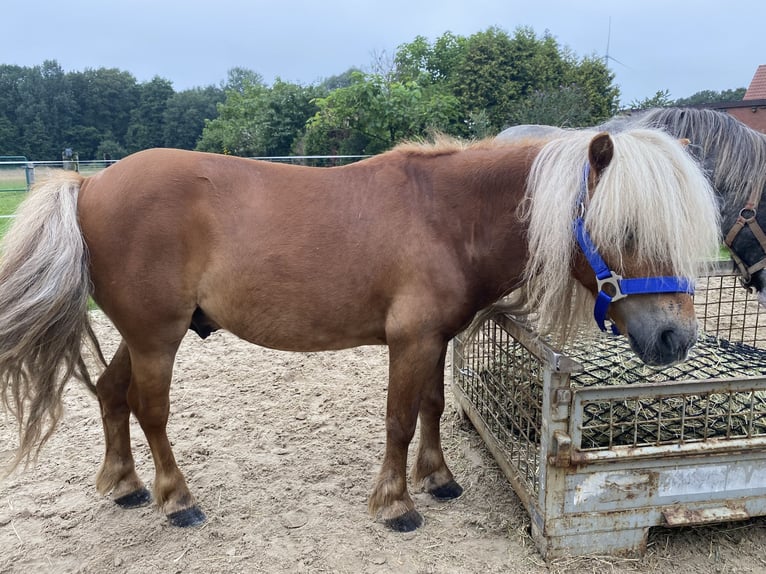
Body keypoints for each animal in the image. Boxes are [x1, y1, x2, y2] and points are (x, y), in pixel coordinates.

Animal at [0, 128, 720, 532]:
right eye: (627, 229)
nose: (675, 340)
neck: (447, 216)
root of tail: (89, 184)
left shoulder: (435, 341)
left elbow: (431, 407)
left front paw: (439, 478)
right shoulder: (410, 341)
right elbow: (398, 420)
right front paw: (397, 503)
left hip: (141, 335)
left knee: (109, 393)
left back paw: (124, 485)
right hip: (158, 337)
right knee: (149, 408)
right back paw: (176, 500)